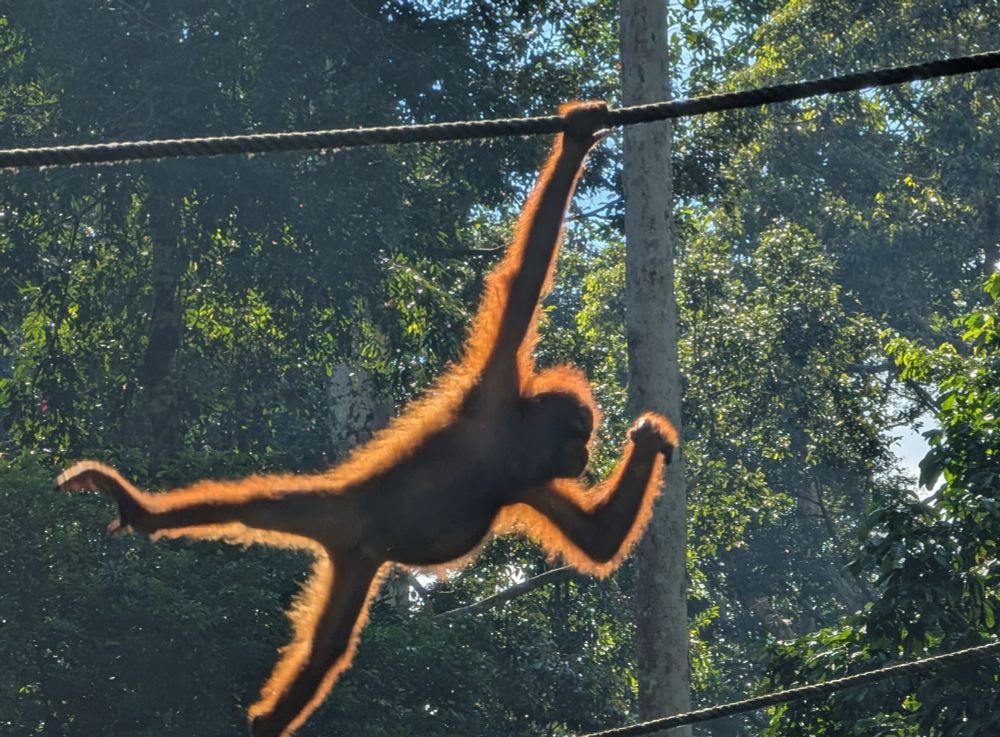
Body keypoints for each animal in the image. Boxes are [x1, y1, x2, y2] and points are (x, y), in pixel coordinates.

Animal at [57, 101, 678, 737]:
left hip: (358, 563)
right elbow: (523, 278)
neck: (510, 443)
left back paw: (267, 719)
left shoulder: (529, 481)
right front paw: (577, 137)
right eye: (579, 434)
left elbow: (597, 541)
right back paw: (141, 510)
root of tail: (348, 536)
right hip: (337, 511)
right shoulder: (496, 387)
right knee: (257, 506)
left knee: (327, 648)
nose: (584, 454)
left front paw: (653, 437)